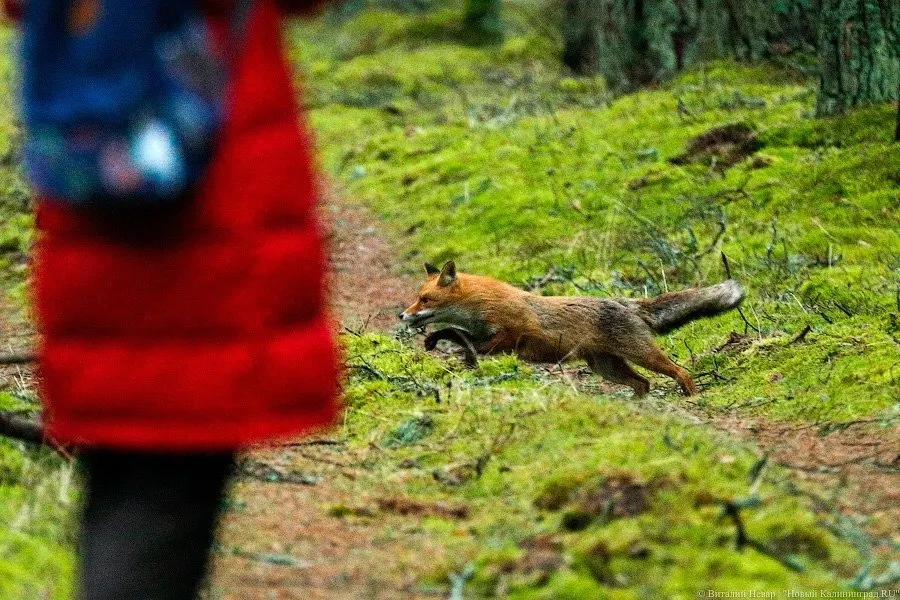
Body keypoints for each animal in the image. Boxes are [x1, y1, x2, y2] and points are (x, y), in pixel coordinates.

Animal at [400, 261, 745, 397]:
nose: (402, 315)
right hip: (607, 368)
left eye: (424, 299)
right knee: (643, 384)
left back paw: (690, 396)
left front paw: (460, 355)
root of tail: (626, 303)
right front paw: (445, 345)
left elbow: (465, 340)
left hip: (642, 356)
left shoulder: (511, 333)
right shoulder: (482, 333)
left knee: (679, 371)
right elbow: (457, 335)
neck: (479, 304)